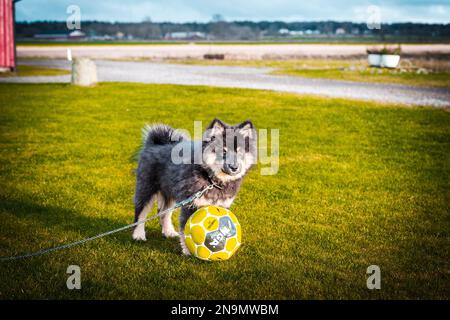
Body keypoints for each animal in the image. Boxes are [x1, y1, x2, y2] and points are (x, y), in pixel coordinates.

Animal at [132, 117, 255, 255]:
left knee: (163, 212)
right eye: (223, 151)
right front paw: (189, 252)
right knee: (141, 213)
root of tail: (155, 143)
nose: (234, 167)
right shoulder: (191, 204)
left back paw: (168, 232)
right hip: (146, 188)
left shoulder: (222, 205)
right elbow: (186, 230)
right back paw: (138, 235)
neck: (212, 180)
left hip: (170, 192)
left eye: (240, 152)